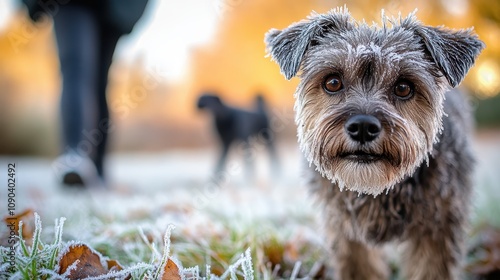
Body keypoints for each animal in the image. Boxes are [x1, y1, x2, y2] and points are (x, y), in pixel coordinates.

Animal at [266, 7, 484, 280]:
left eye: (403, 87)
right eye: (333, 82)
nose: (362, 127)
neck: (377, 190)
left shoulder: (438, 228)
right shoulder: (347, 232)